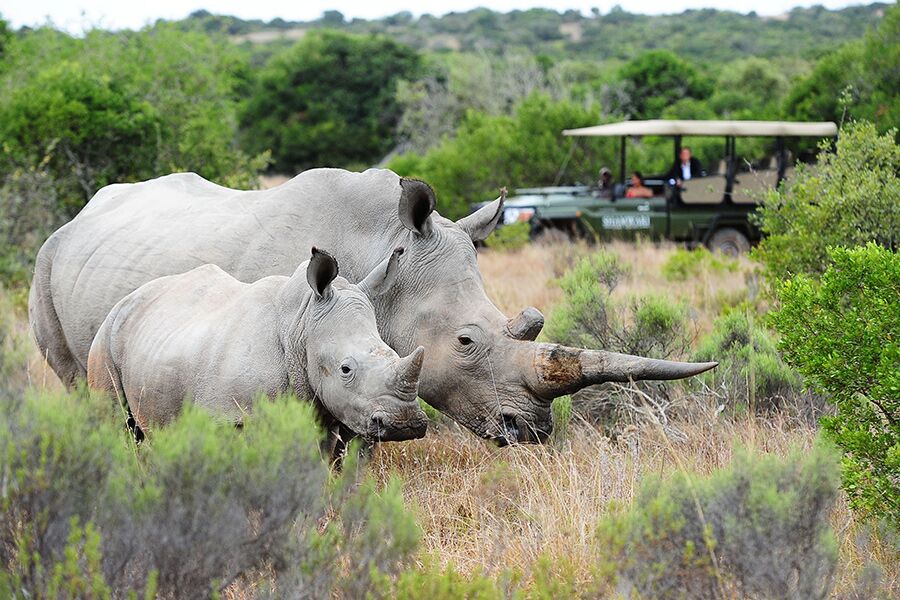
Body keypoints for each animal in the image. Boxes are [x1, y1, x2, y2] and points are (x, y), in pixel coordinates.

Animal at [87, 247, 428, 443]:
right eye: (346, 369)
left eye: (394, 353)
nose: (405, 424)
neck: (301, 326)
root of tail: (125, 300)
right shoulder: (229, 417)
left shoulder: (321, 413)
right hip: (105, 339)